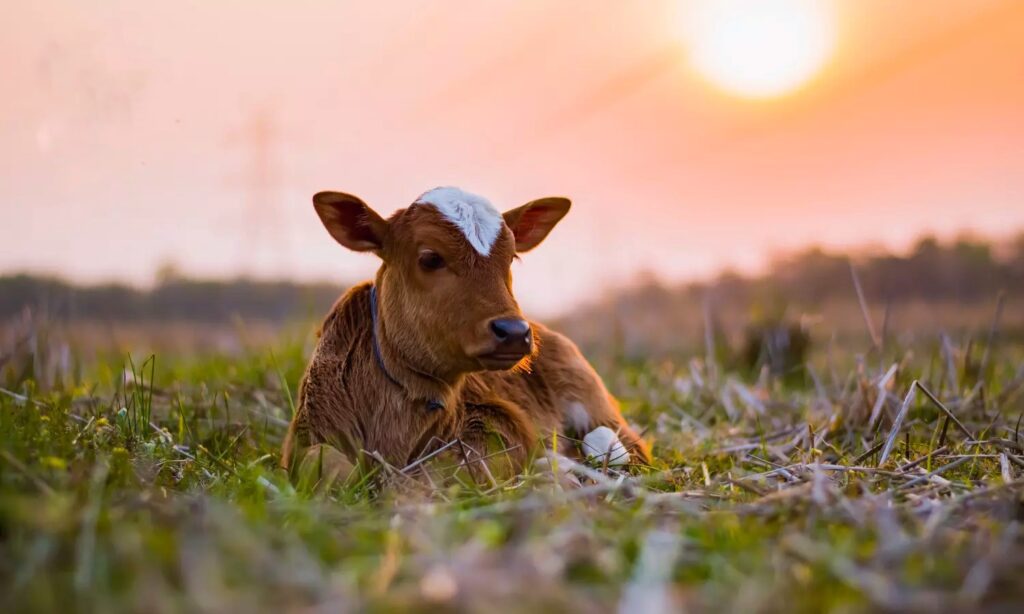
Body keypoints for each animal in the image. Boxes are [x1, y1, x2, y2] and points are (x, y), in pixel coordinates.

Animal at [282, 187, 650, 483]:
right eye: (431, 258)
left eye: (511, 257)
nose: (514, 331)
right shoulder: (306, 432)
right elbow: (325, 464)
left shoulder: (498, 421)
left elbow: (455, 466)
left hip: (590, 395)